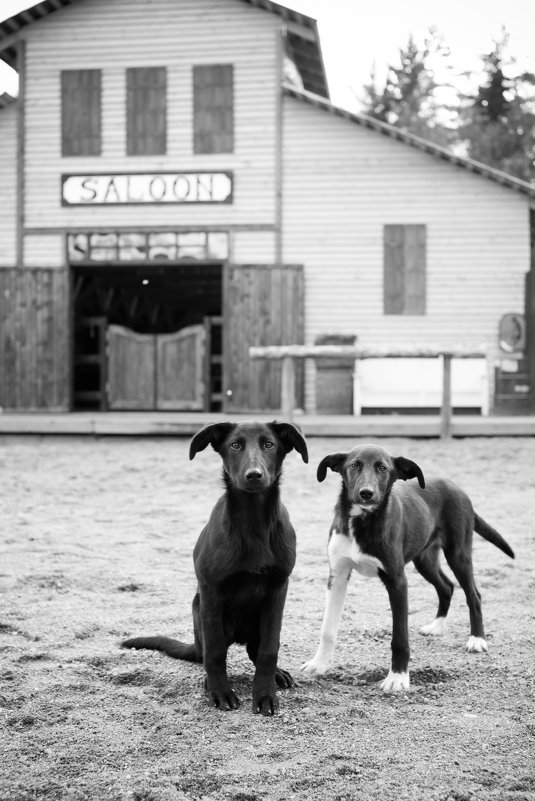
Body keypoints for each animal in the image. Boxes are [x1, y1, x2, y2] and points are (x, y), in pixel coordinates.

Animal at [123, 418, 308, 712]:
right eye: (235, 445)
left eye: (269, 444)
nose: (254, 475)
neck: (253, 521)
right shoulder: (211, 590)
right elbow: (216, 652)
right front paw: (220, 691)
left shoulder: (278, 588)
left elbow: (269, 650)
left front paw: (265, 694)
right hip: (200, 608)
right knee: (208, 652)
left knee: (255, 650)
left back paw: (277, 674)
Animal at [302, 440, 516, 692]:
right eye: (354, 465)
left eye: (382, 468)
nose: (366, 493)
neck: (363, 522)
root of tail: (455, 486)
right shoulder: (337, 575)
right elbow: (327, 629)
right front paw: (319, 664)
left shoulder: (397, 581)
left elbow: (399, 638)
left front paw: (398, 676)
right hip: (424, 560)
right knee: (447, 586)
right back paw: (437, 626)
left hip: (458, 554)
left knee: (473, 594)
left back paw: (477, 639)